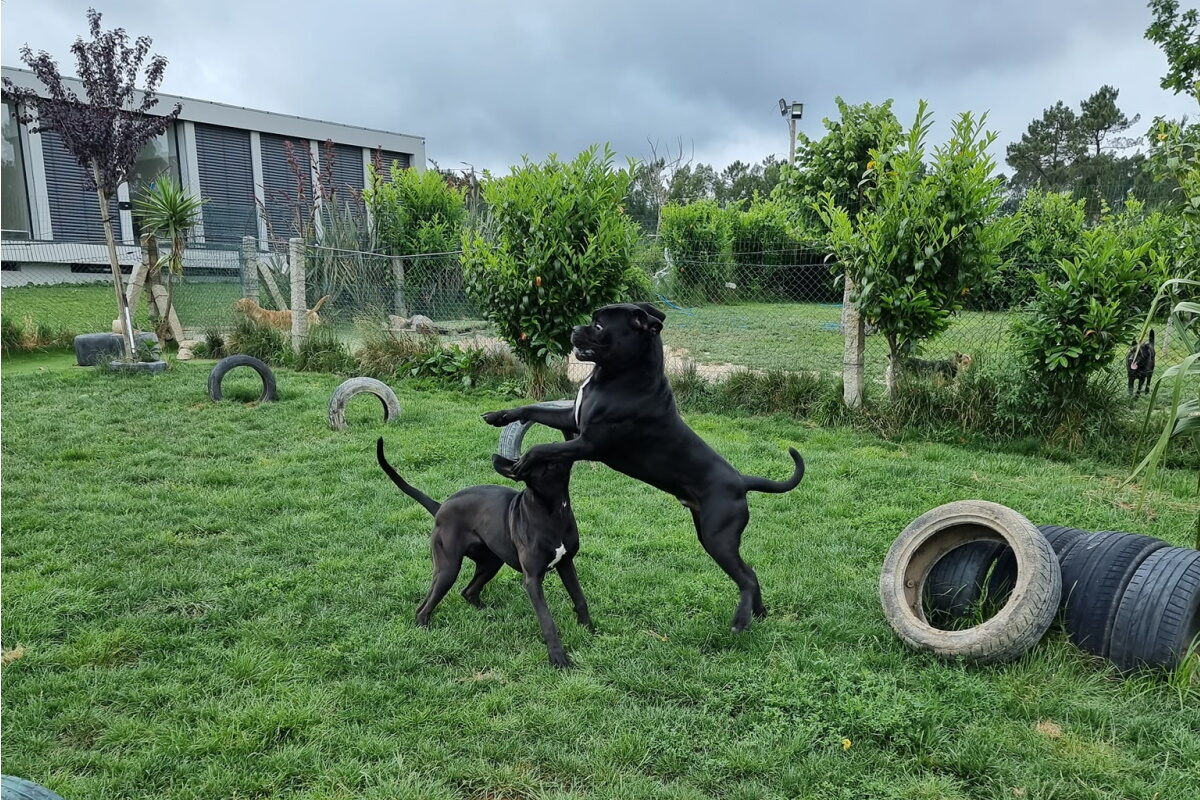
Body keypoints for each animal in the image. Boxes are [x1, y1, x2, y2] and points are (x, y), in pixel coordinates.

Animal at [374, 438, 590, 671]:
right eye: (545, 460)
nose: (565, 442)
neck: (553, 511)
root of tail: (441, 507)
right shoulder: (532, 579)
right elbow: (547, 619)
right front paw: (558, 657)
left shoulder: (566, 564)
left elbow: (579, 597)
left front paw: (588, 628)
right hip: (448, 568)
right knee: (425, 607)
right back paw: (424, 630)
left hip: (490, 563)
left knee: (467, 592)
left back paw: (487, 612)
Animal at [480, 303, 806, 633]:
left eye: (599, 326)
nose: (573, 329)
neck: (620, 376)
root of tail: (741, 481)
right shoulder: (571, 420)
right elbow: (532, 408)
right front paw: (498, 415)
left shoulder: (589, 443)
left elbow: (543, 448)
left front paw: (523, 461)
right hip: (709, 535)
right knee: (750, 573)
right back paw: (759, 614)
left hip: (719, 539)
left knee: (746, 578)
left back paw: (740, 621)